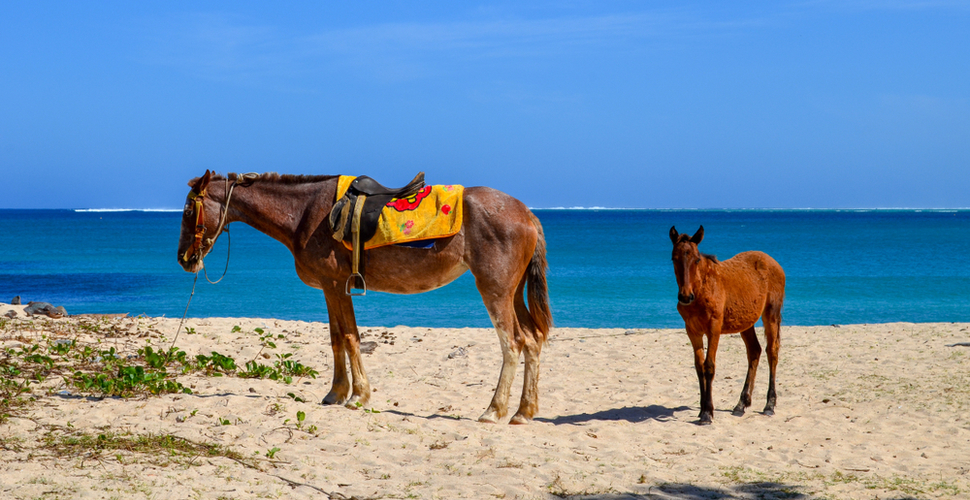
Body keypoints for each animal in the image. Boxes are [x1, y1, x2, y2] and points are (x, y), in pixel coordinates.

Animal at [177, 170, 548, 424]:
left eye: (187, 212)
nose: (184, 258)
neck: (304, 213)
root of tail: (527, 213)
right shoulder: (332, 287)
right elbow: (336, 338)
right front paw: (337, 392)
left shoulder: (335, 284)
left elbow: (349, 337)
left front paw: (358, 395)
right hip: (512, 292)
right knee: (532, 340)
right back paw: (524, 411)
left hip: (494, 289)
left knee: (512, 342)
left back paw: (494, 410)